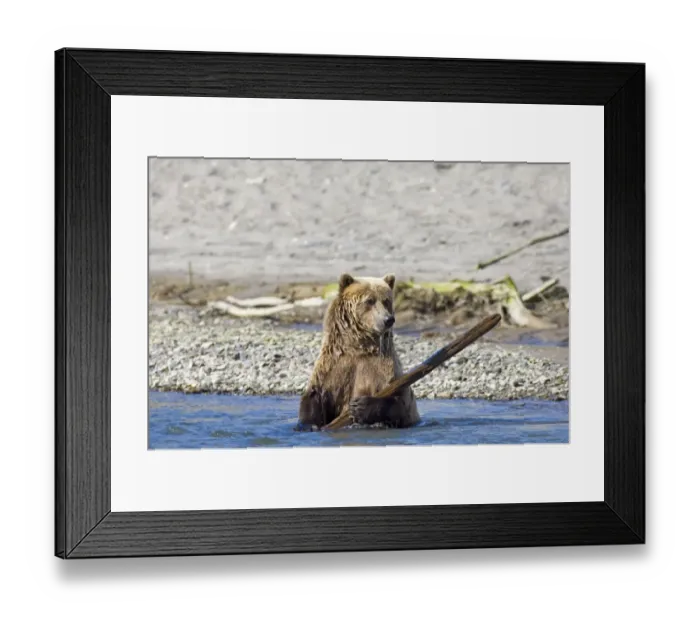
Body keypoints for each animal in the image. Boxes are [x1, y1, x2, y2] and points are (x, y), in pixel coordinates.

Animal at [297, 272, 420, 430]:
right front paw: (309, 425)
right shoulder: (333, 366)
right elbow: (314, 398)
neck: (359, 346)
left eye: (386, 300)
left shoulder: (385, 370)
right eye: (370, 300)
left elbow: (399, 403)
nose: (388, 319)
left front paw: (361, 406)